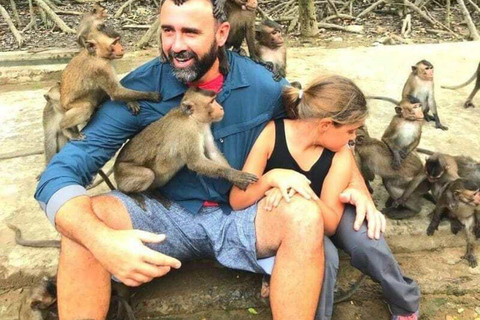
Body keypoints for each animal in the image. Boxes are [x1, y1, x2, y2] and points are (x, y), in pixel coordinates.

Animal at [114, 86, 258, 209]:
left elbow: (213, 153)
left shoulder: (205, 127)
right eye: (212, 101)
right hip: (122, 172)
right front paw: (236, 176)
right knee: (148, 174)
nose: (221, 108)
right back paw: (129, 193)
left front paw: (235, 178)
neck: (193, 119)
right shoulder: (189, 133)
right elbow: (196, 162)